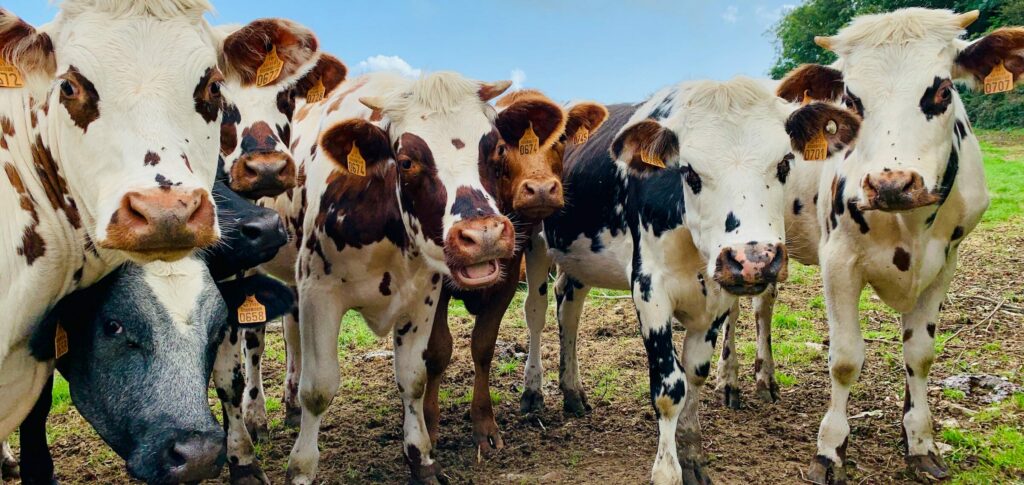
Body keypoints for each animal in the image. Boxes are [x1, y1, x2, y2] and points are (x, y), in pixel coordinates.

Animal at [253, 70, 525, 484]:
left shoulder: (423, 296)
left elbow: (413, 379)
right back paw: (255, 419)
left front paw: (422, 459)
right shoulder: (319, 292)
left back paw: (289, 404)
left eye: (496, 150)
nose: (485, 237)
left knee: (290, 333)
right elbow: (318, 389)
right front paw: (301, 468)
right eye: (407, 161)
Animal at [422, 89, 609, 453]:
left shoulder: (509, 276)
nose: (541, 189)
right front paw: (429, 427)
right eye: (500, 146)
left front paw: (484, 425)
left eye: (560, 139)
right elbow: (438, 350)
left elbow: (484, 346)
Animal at [520, 77, 861, 484]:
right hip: (533, 240)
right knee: (536, 312)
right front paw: (667, 471)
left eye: (783, 164)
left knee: (568, 309)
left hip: (577, 259)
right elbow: (669, 387)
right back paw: (533, 393)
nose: (752, 260)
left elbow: (695, 374)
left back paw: (572, 391)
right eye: (689, 172)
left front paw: (692, 455)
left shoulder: (716, 299)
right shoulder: (649, 289)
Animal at [725, 8, 1014, 484]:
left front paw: (919, 442)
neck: (909, 222)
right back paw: (729, 381)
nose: (890, 183)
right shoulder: (838, 261)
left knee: (763, 306)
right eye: (851, 100)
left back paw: (765, 378)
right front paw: (830, 450)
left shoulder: (945, 263)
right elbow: (844, 359)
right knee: (730, 310)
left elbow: (920, 354)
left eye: (943, 90)